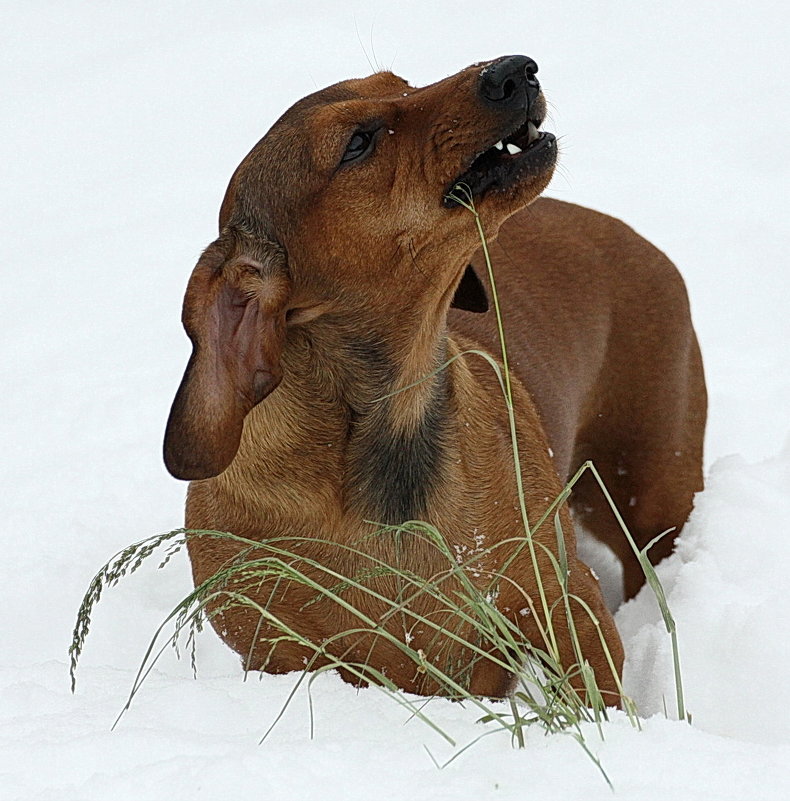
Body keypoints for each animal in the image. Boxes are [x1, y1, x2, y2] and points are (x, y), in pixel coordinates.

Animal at [164, 56, 708, 704]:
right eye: (358, 142)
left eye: (399, 83)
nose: (515, 70)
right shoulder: (281, 655)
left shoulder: (561, 600)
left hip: (650, 493)